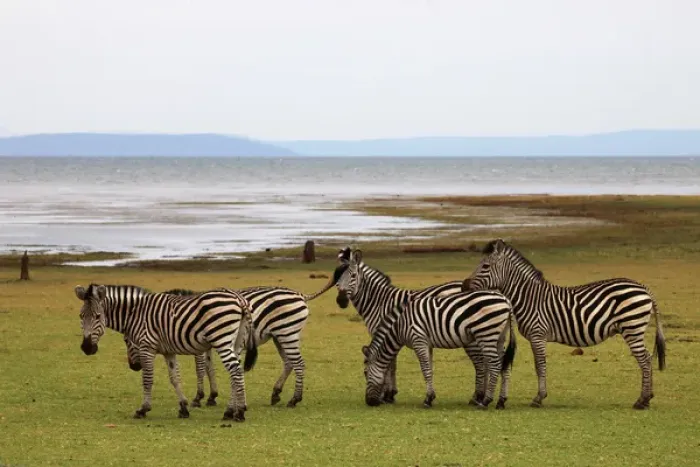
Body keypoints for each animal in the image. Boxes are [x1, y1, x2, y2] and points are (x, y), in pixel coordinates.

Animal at [76, 284, 257, 421]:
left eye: (98, 316)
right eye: (81, 316)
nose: (86, 348)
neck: (136, 313)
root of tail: (238, 298)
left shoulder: (147, 347)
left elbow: (147, 380)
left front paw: (143, 409)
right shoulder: (168, 351)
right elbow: (174, 378)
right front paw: (183, 408)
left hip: (221, 339)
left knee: (235, 370)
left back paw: (240, 412)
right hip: (236, 342)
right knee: (236, 372)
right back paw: (230, 411)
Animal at [125, 272, 345, 409]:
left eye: (128, 340)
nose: (134, 367)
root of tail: (300, 294)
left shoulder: (199, 344)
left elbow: (200, 368)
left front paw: (199, 397)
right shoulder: (209, 343)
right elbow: (209, 367)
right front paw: (212, 396)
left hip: (286, 333)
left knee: (297, 363)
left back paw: (293, 399)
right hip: (280, 335)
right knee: (289, 362)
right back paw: (276, 393)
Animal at [335, 248, 503, 406]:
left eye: (353, 276)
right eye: (337, 280)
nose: (341, 301)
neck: (380, 302)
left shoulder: (384, 331)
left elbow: (389, 364)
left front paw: (386, 395)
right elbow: (392, 364)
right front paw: (390, 394)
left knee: (482, 363)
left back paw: (478, 397)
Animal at [361, 290, 516, 408]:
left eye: (365, 373)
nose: (369, 402)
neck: (399, 325)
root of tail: (505, 300)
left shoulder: (419, 340)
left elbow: (425, 370)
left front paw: (428, 399)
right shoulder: (427, 344)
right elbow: (430, 369)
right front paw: (431, 397)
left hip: (486, 333)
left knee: (495, 365)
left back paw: (485, 401)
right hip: (499, 337)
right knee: (504, 366)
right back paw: (501, 401)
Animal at [463, 238, 667, 409]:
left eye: (485, 266)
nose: (464, 285)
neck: (529, 297)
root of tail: (644, 288)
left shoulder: (537, 335)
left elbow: (539, 365)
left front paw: (539, 398)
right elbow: (539, 365)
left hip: (632, 328)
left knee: (645, 359)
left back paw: (642, 400)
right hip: (634, 329)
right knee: (648, 358)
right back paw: (647, 398)